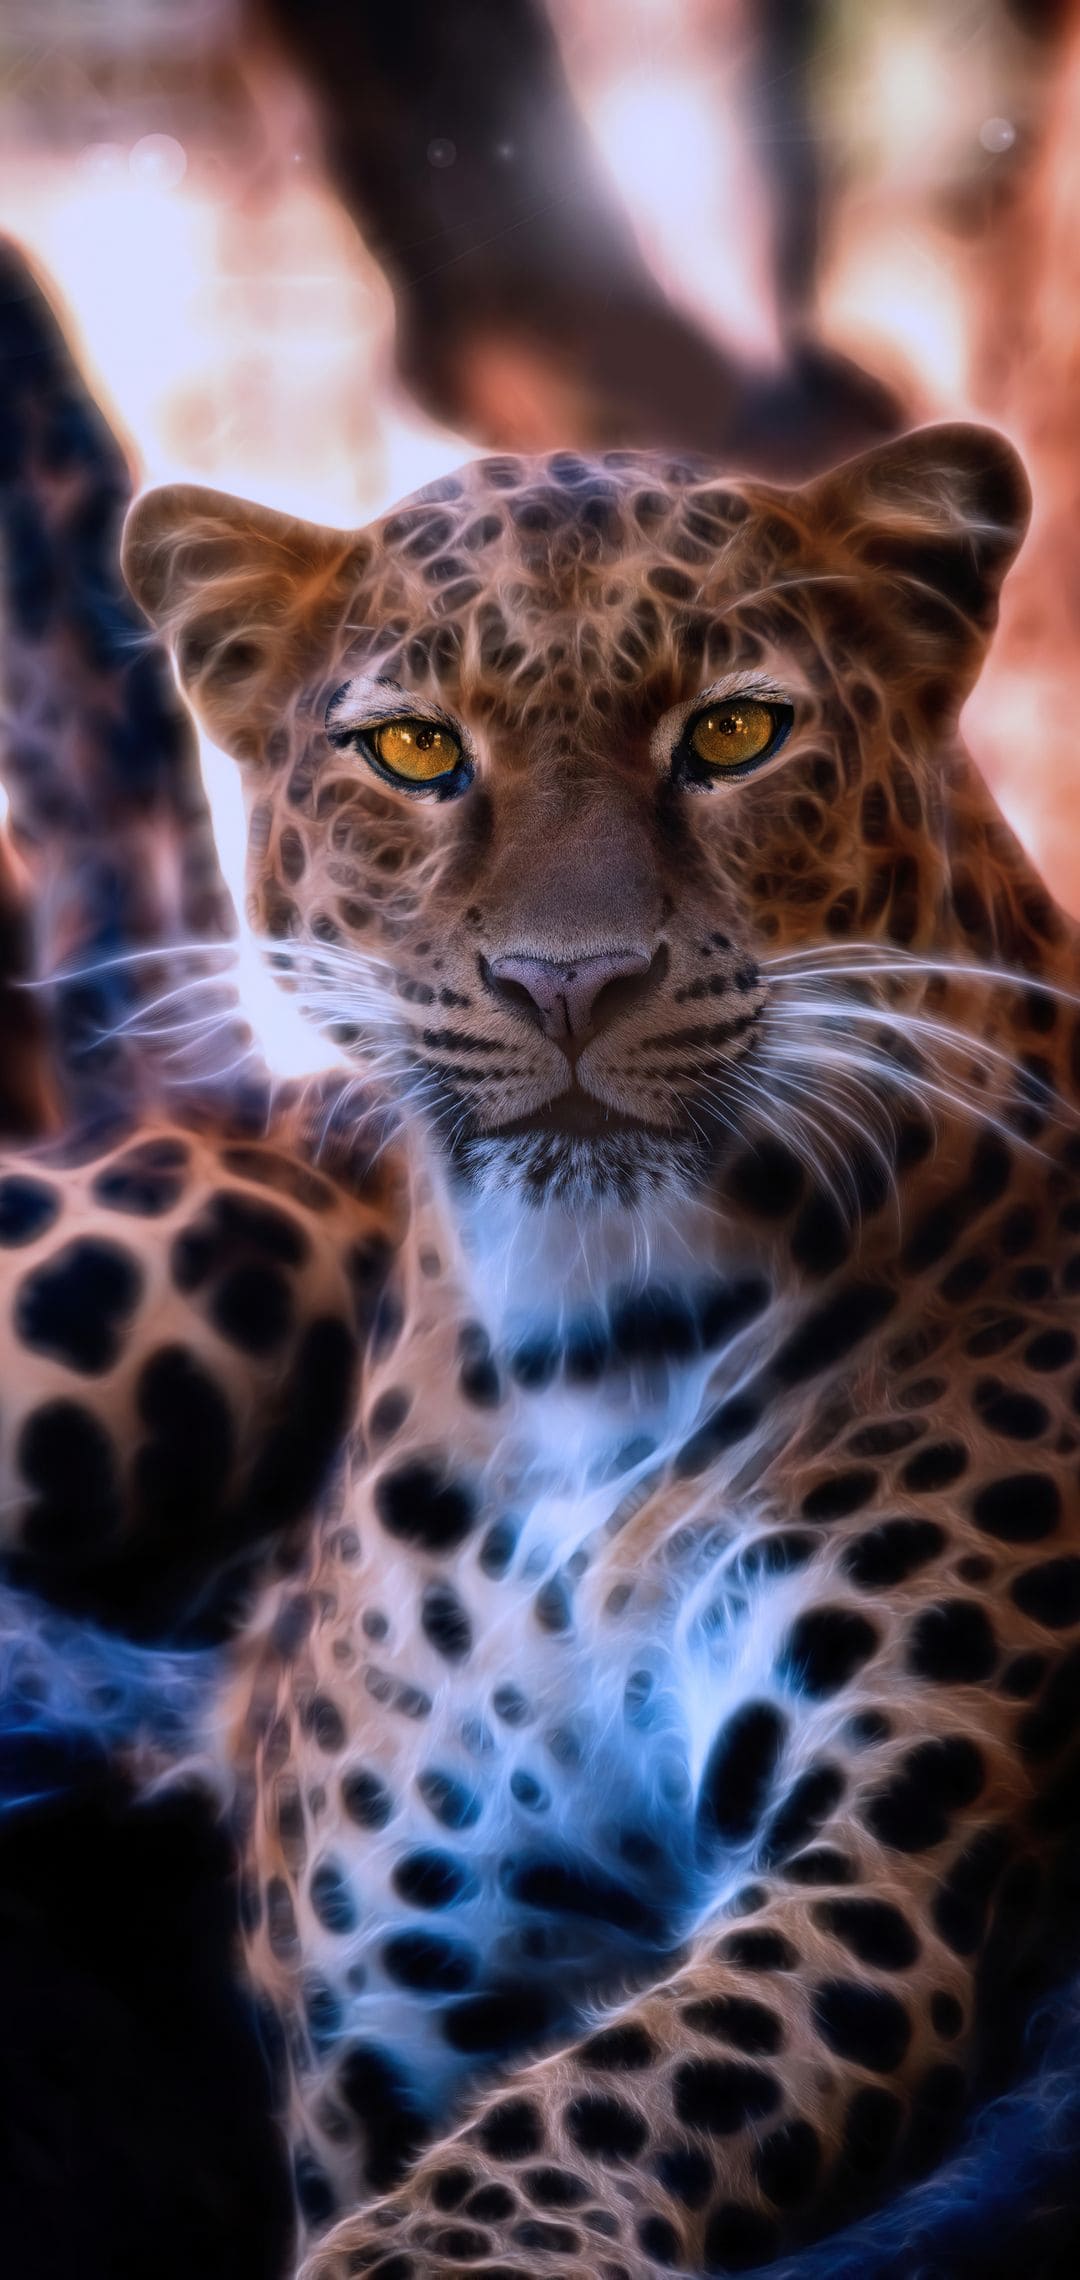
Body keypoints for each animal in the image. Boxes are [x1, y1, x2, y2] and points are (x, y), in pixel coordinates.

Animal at [4, 387, 1080, 2280]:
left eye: (734, 733)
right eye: (415, 752)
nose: (568, 980)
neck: (600, 1350)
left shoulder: (896, 1854)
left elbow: (605, 2102)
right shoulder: (409, 1992)